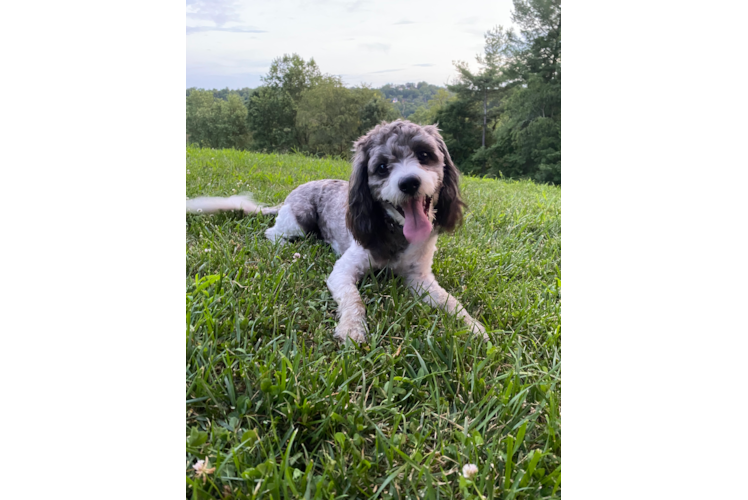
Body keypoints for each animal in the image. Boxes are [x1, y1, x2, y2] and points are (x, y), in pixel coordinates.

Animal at [187, 120, 488, 344]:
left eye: (425, 155)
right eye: (382, 167)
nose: (409, 182)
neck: (396, 232)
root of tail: (288, 197)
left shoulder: (420, 279)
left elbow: (450, 301)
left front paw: (473, 327)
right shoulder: (343, 271)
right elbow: (354, 300)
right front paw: (352, 329)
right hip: (298, 220)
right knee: (272, 233)